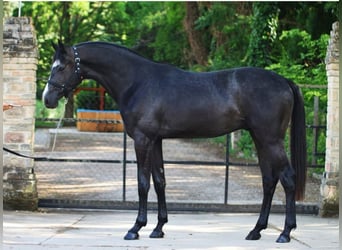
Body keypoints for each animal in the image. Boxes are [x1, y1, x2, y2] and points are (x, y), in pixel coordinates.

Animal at [43, 40, 308, 242]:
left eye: (62, 66)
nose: (47, 99)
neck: (138, 82)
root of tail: (284, 81)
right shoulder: (156, 140)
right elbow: (160, 181)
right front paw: (158, 228)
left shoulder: (143, 140)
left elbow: (143, 183)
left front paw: (135, 228)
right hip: (260, 139)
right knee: (269, 181)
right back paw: (256, 230)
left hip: (270, 140)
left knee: (287, 178)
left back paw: (285, 233)